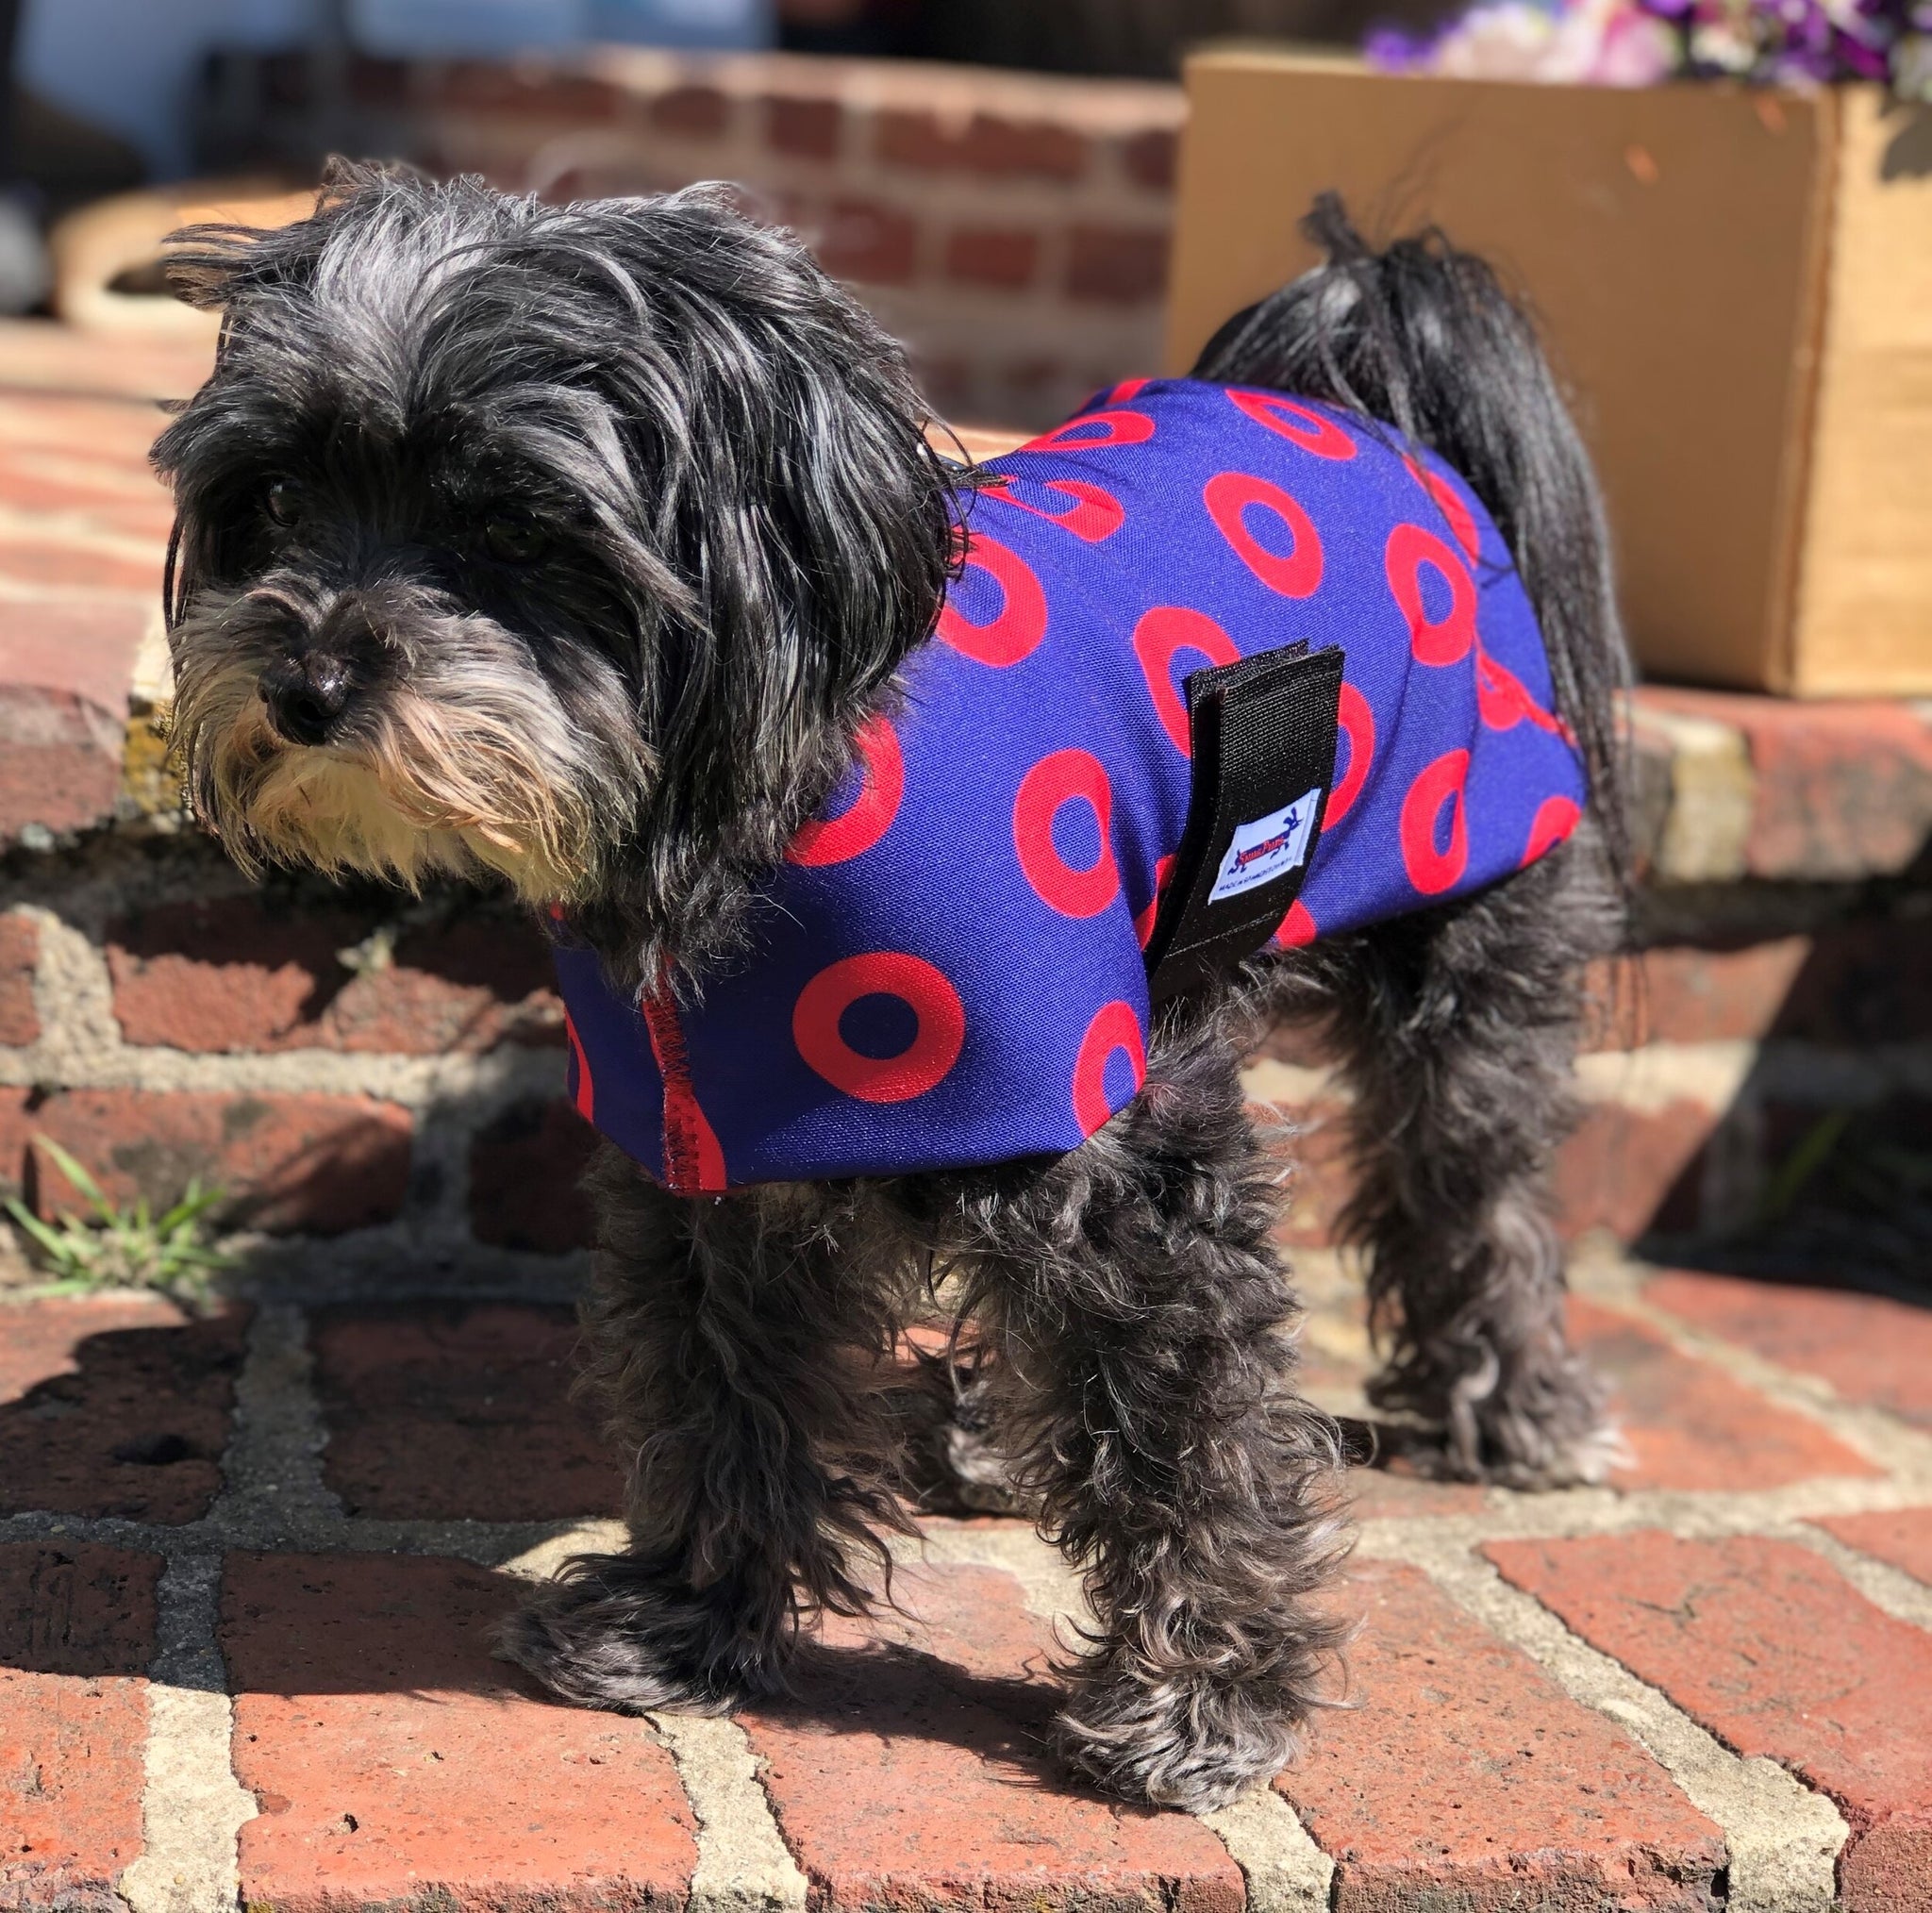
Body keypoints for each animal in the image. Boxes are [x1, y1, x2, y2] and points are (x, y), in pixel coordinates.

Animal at [154, 161, 1630, 1808]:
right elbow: (721, 1403)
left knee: (1472, 1188)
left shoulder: (1118, 1147)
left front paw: (1204, 1700)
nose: (304, 687)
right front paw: (691, 1622)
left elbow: (1190, 1425)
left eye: (519, 525)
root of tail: (1357, 387)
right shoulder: (708, 1166)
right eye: (277, 498)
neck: (750, 841)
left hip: (1462, 950)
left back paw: (1510, 1411)